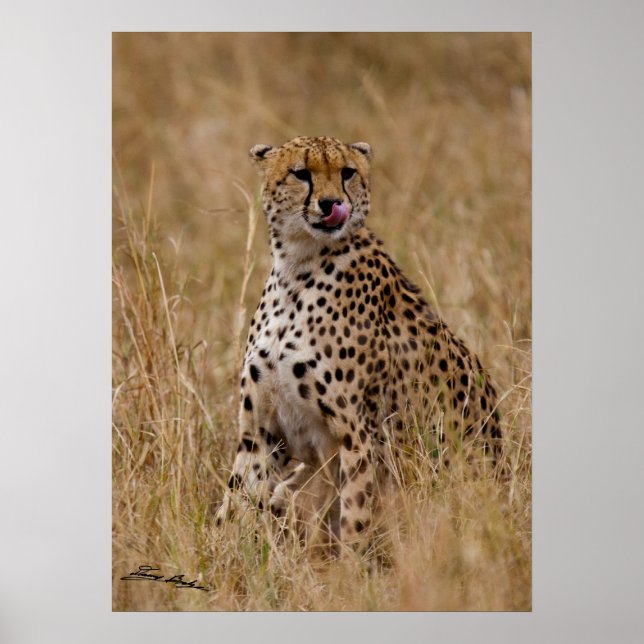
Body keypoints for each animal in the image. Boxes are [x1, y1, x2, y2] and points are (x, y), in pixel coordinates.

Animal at [215, 135, 502, 552]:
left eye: (347, 172)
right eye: (301, 174)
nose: (332, 203)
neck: (297, 266)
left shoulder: (359, 437)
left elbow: (354, 518)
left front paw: (351, 567)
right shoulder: (261, 433)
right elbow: (237, 497)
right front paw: (220, 554)